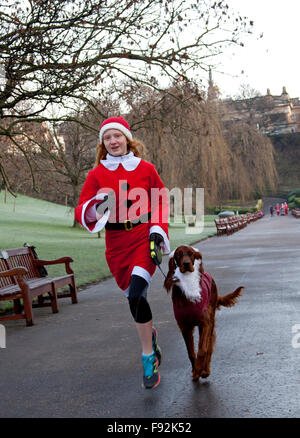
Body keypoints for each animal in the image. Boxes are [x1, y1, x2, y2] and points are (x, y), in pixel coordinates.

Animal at [164, 246, 244, 380]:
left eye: (191, 254)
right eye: (178, 255)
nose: (186, 264)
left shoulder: (205, 323)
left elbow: (202, 350)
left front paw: (198, 369)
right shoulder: (184, 327)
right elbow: (191, 352)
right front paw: (195, 370)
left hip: (210, 321)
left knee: (209, 347)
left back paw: (205, 370)